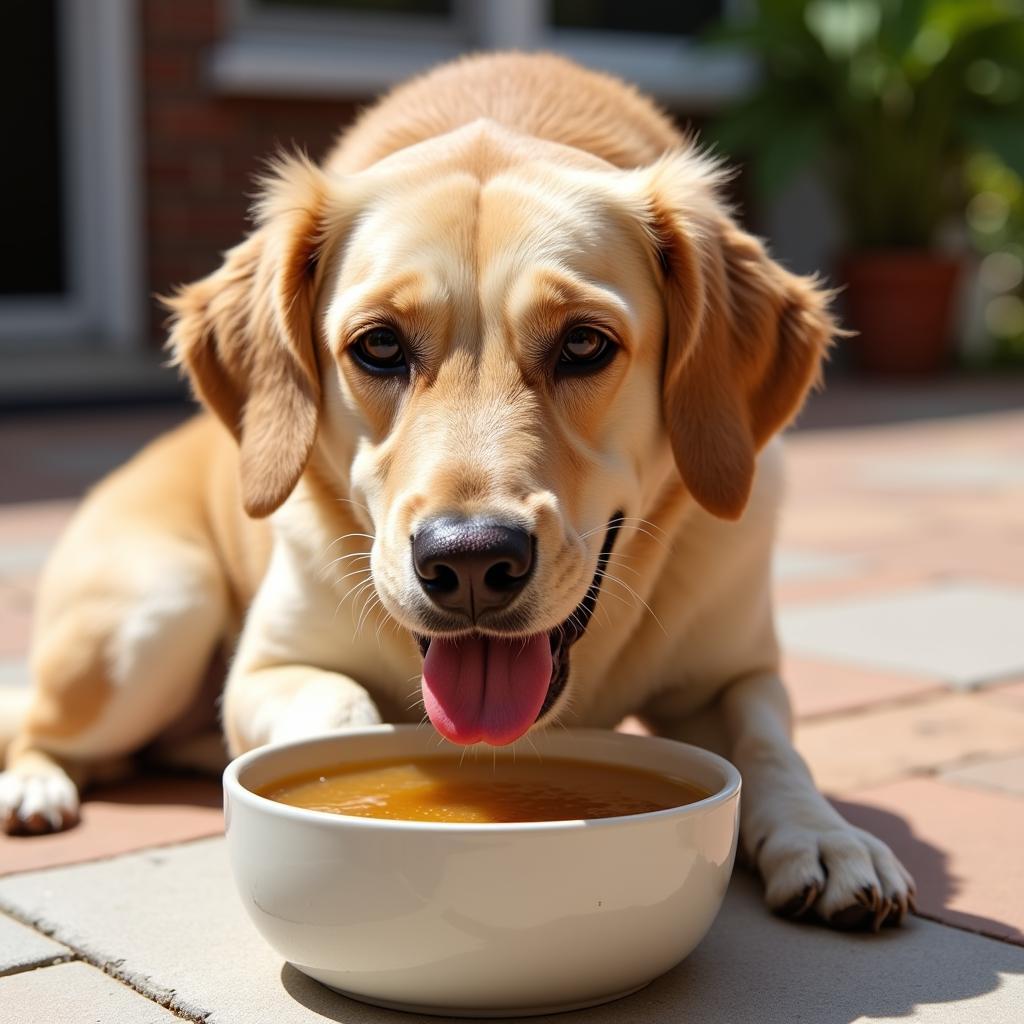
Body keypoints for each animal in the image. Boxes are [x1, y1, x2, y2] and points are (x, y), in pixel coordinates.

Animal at [0, 51, 913, 925]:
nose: (470, 562)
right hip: (153, 619)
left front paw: (827, 838)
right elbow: (338, 712)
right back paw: (34, 786)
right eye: (377, 345)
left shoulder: (737, 674)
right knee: (38, 723)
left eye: (584, 343)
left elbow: (773, 749)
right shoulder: (268, 667)